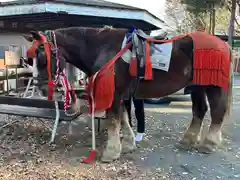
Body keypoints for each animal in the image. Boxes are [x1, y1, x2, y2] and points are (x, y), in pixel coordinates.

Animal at [23, 26, 232, 162]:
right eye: (29, 59)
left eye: (42, 56)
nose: (41, 87)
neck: (102, 47)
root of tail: (223, 44)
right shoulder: (121, 94)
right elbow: (123, 118)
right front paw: (129, 145)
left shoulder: (114, 94)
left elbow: (114, 121)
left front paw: (111, 152)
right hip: (197, 87)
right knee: (200, 110)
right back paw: (188, 140)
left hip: (213, 87)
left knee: (217, 112)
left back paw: (209, 143)